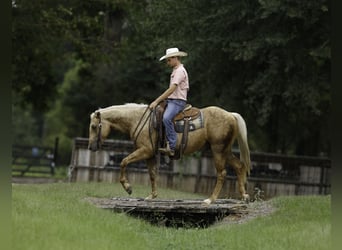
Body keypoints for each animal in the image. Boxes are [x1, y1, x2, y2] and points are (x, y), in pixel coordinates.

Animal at [87, 102, 250, 204]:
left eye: (94, 126)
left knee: (222, 173)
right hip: (225, 151)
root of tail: (230, 115)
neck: (139, 120)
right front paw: (151, 196)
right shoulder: (150, 155)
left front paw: (128, 187)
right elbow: (152, 174)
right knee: (239, 166)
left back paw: (210, 200)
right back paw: (244, 196)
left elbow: (124, 162)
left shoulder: (145, 150)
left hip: (217, 150)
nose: (90, 147)